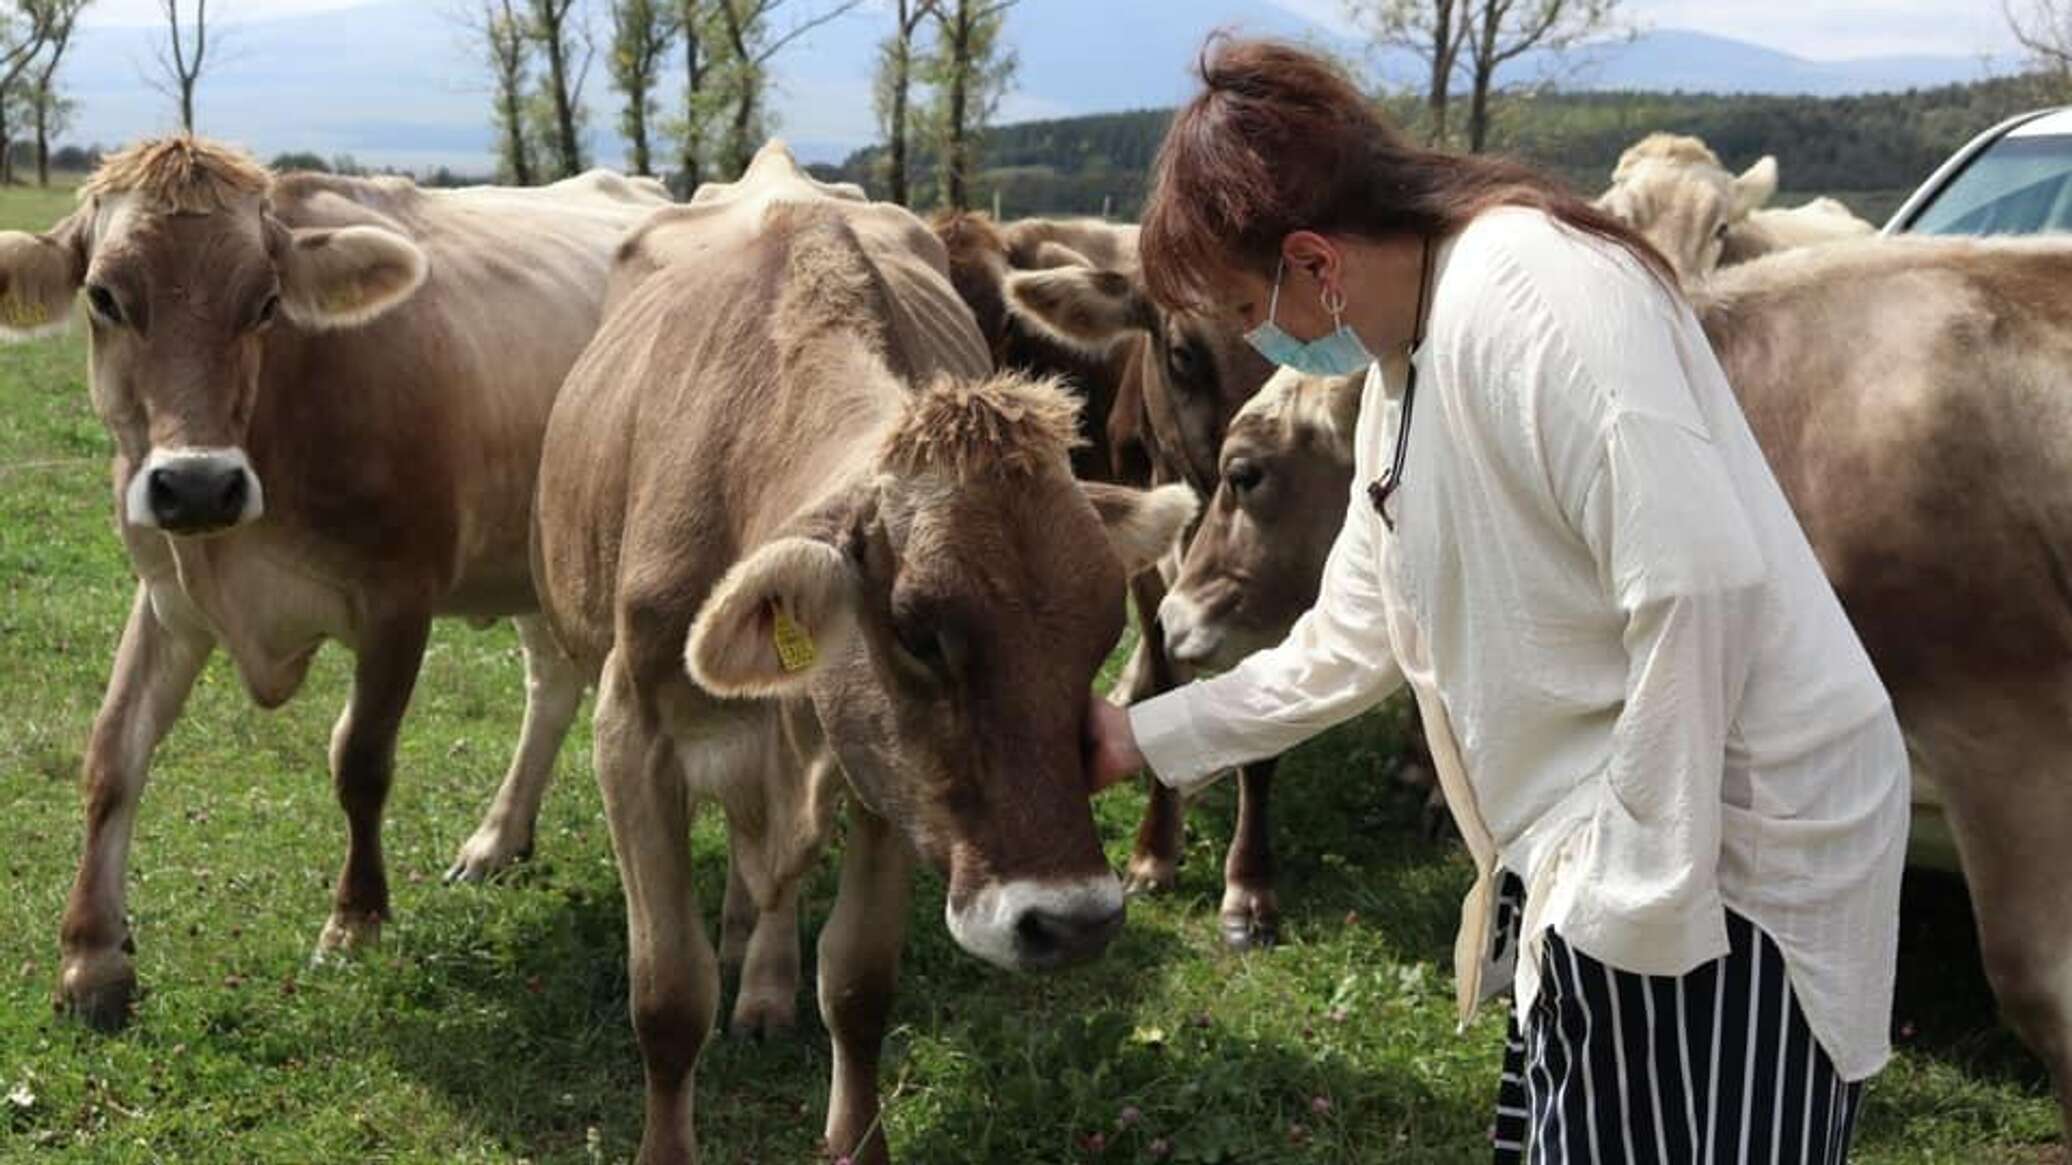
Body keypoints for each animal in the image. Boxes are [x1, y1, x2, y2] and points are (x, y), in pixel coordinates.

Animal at [0, 137, 671, 1024]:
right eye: (104, 296)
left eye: (265, 301)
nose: (200, 484)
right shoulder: (170, 597)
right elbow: (113, 753)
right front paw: (91, 956)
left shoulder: (399, 598)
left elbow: (360, 758)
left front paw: (355, 921)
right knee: (552, 682)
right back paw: (498, 837)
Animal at [526, 145, 1193, 1160]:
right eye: (917, 632)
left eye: (1099, 633)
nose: (1072, 921)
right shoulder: (631, 731)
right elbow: (669, 994)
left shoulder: (889, 771)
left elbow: (857, 984)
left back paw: (761, 979)